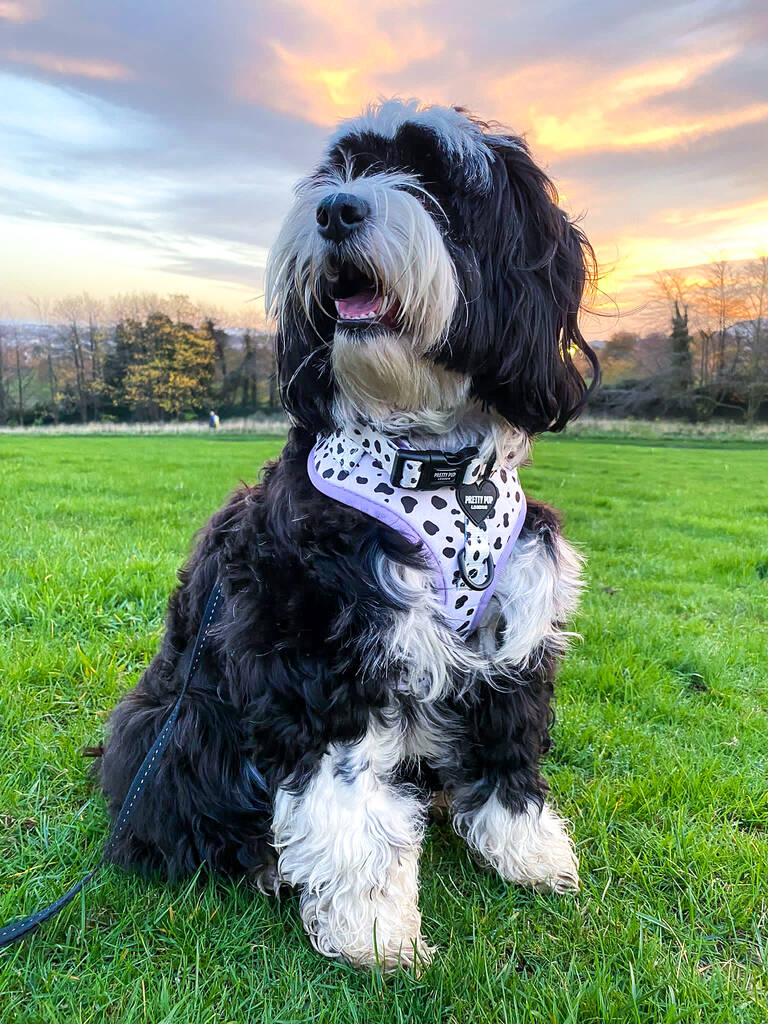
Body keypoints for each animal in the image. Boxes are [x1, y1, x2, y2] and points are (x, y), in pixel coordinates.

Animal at [99, 99, 598, 970]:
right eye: (339, 172)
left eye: (435, 177)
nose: (336, 210)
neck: (433, 464)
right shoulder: (320, 647)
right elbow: (349, 797)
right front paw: (371, 926)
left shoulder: (514, 627)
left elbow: (507, 744)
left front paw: (525, 849)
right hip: (171, 729)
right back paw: (266, 867)